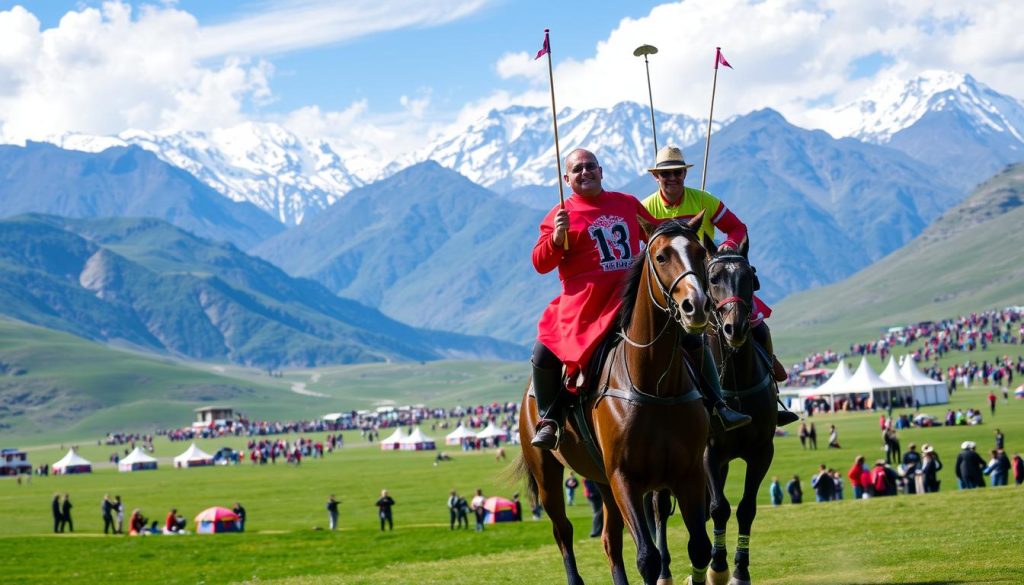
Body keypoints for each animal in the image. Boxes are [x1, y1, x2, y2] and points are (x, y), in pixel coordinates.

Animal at [520, 217, 712, 585]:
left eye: (700, 252)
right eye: (662, 256)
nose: (696, 306)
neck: (656, 384)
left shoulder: (688, 474)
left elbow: (699, 548)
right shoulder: (625, 479)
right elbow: (648, 558)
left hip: (602, 481)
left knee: (611, 540)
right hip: (548, 475)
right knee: (563, 532)